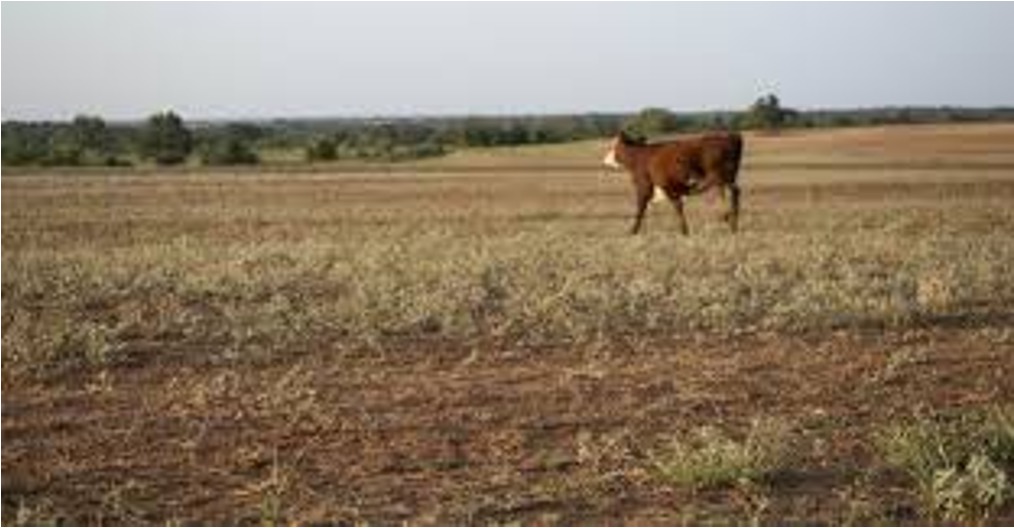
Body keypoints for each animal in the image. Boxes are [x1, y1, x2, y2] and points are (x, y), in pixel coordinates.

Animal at [603, 130, 744, 235]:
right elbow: (678, 206)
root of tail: (732, 136)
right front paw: (684, 230)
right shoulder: (669, 187)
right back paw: (732, 223)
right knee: (732, 192)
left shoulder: (645, 186)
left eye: (612, 146)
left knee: (731, 192)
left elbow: (641, 208)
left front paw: (633, 231)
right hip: (727, 178)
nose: (605, 160)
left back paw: (729, 219)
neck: (639, 156)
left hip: (719, 176)